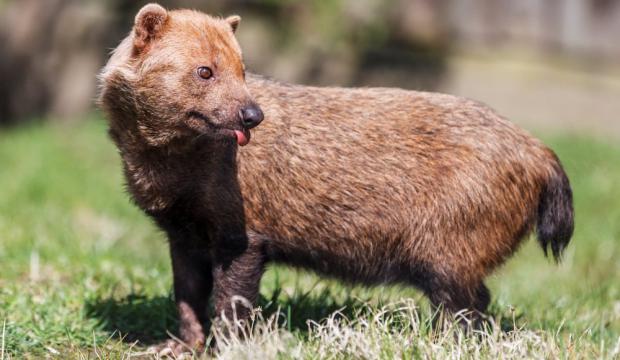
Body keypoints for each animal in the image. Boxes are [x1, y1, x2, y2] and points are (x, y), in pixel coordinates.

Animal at [98, 2, 576, 352]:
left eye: (242, 69)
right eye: (204, 70)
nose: (252, 114)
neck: (178, 175)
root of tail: (538, 149)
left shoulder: (242, 239)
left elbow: (232, 306)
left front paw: (227, 348)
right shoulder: (184, 235)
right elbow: (188, 298)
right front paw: (179, 347)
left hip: (447, 261)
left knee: (471, 310)